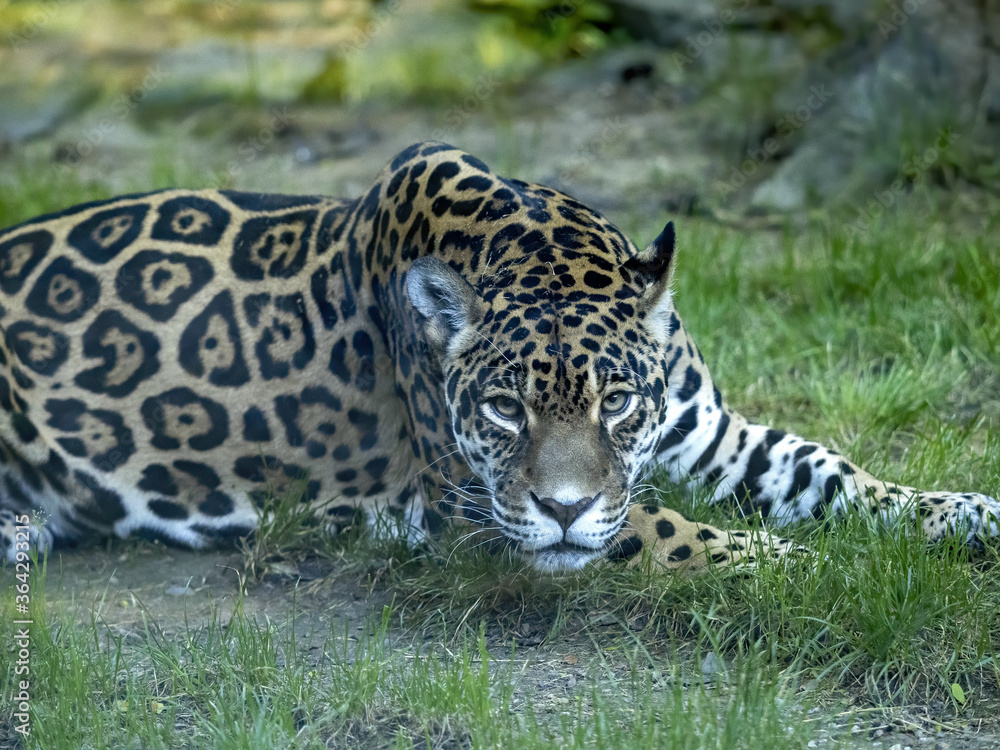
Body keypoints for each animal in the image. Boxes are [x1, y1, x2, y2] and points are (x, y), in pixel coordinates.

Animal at [1, 141, 997, 574]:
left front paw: (964, 512)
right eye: (503, 409)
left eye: (617, 403)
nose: (561, 508)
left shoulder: (708, 437)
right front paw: (807, 566)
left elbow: (828, 468)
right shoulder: (466, 502)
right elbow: (664, 530)